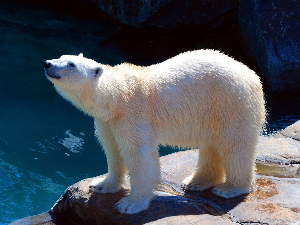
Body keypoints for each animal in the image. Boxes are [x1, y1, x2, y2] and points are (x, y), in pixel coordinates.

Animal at [44, 50, 264, 214]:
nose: (47, 63)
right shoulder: (108, 121)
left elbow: (139, 154)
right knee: (211, 144)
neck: (118, 95)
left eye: (71, 64)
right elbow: (113, 150)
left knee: (234, 145)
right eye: (61, 56)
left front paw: (130, 204)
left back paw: (230, 188)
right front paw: (100, 185)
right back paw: (196, 182)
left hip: (230, 102)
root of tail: (253, 76)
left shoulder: (132, 114)